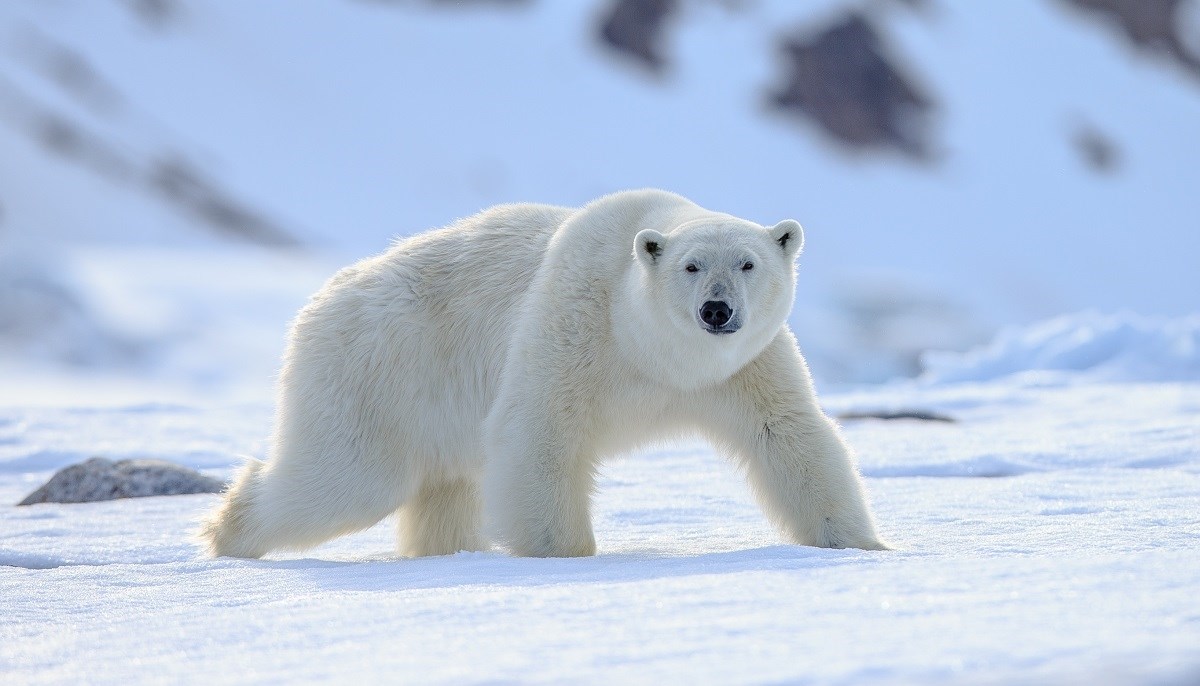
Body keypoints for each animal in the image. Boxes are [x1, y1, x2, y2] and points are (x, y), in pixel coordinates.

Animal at [199, 187, 892, 556]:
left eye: (749, 263)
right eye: (691, 266)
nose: (717, 311)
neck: (652, 353)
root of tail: (321, 300)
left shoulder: (744, 367)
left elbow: (789, 435)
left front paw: (862, 545)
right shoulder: (574, 324)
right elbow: (539, 433)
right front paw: (564, 556)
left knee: (444, 490)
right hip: (376, 371)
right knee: (346, 478)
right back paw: (229, 533)